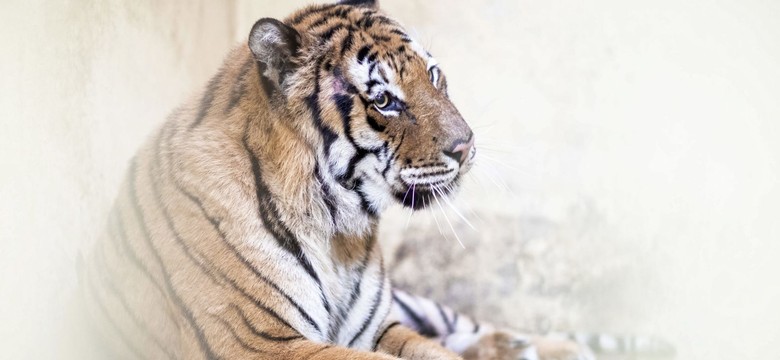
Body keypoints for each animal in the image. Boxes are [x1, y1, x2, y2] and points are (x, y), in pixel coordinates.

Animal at [76, 1, 596, 358]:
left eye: (433, 74)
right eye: (384, 101)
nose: (466, 147)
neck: (340, 233)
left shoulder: (380, 327)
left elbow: (432, 349)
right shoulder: (259, 341)